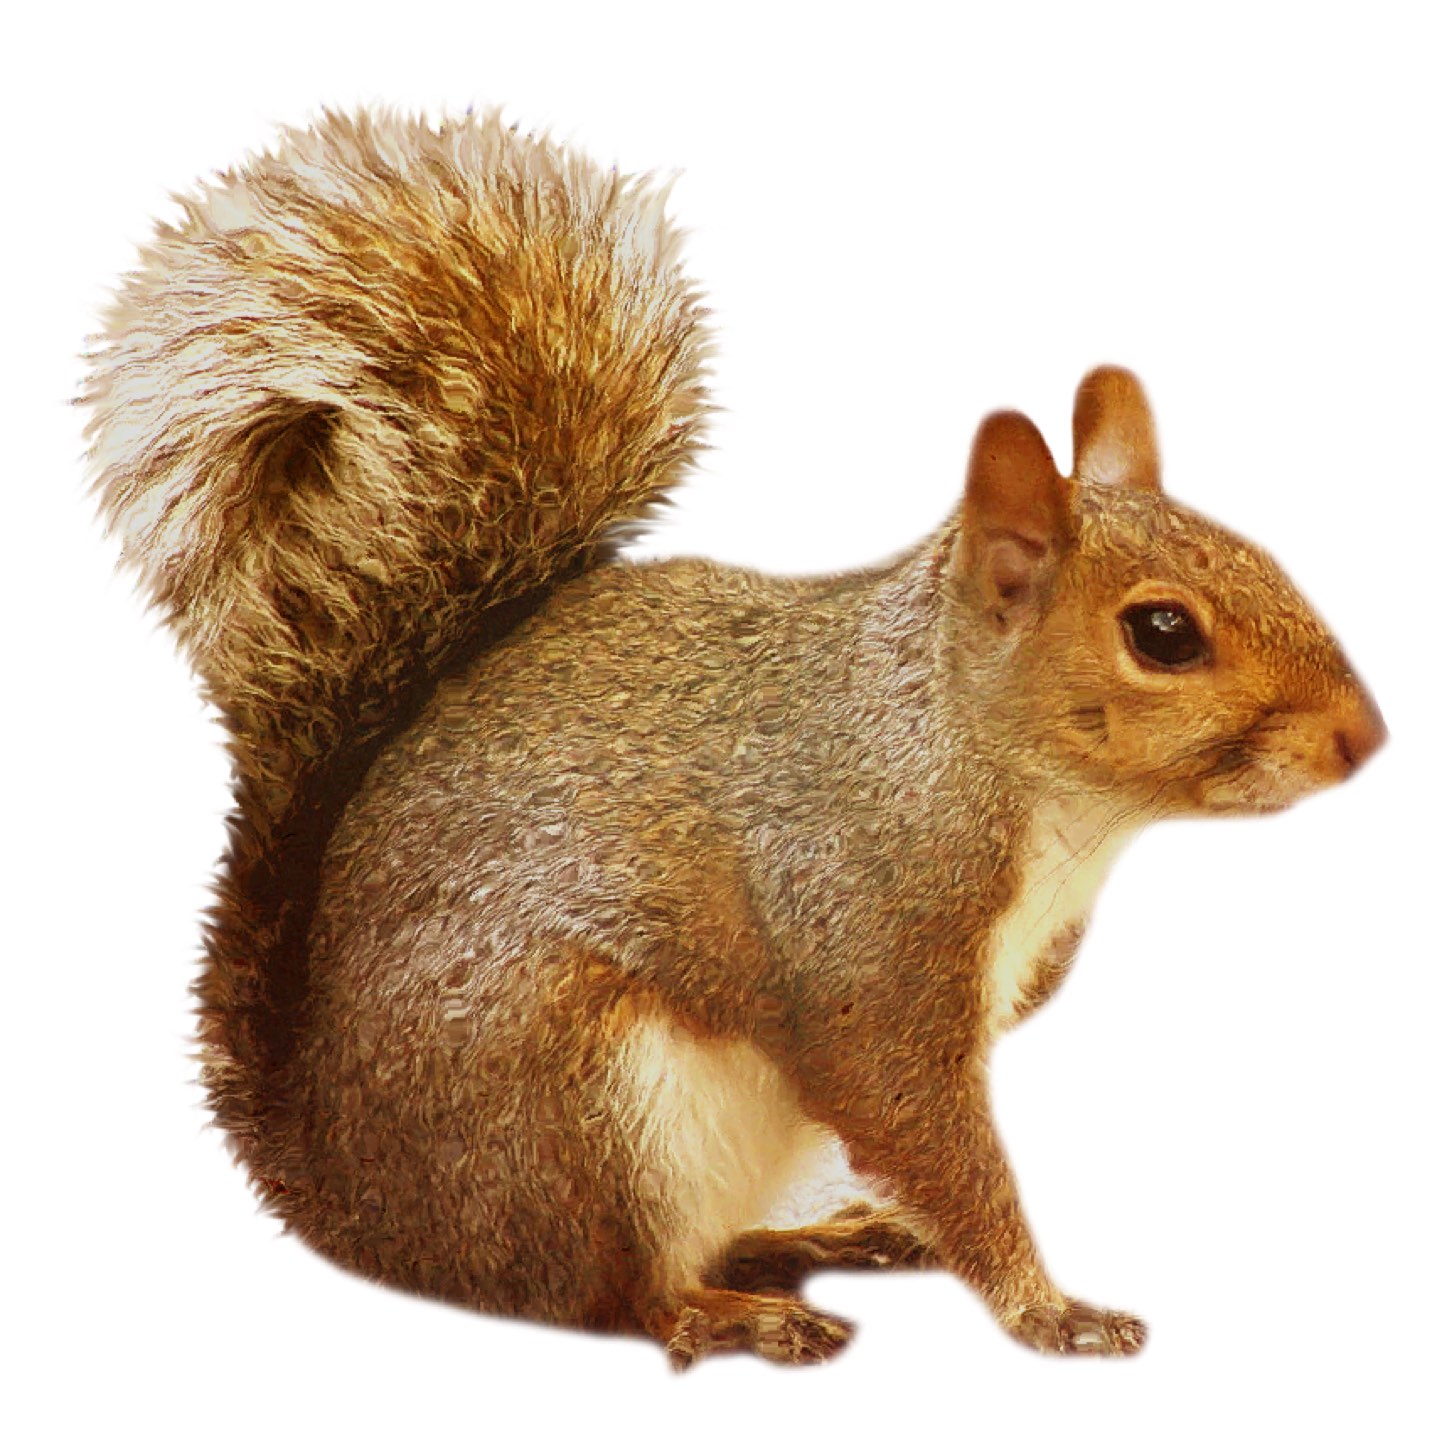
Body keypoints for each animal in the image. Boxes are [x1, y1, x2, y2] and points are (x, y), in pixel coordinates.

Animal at [84, 109, 1386, 1369]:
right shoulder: (864, 932)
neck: (985, 762)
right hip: (576, 1098)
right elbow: (919, 1122)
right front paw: (1048, 1312)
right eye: (1163, 633)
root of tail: (347, 1193)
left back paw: (812, 1242)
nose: (1364, 738)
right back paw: (731, 1315)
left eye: (1263, 557)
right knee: (610, 1293)